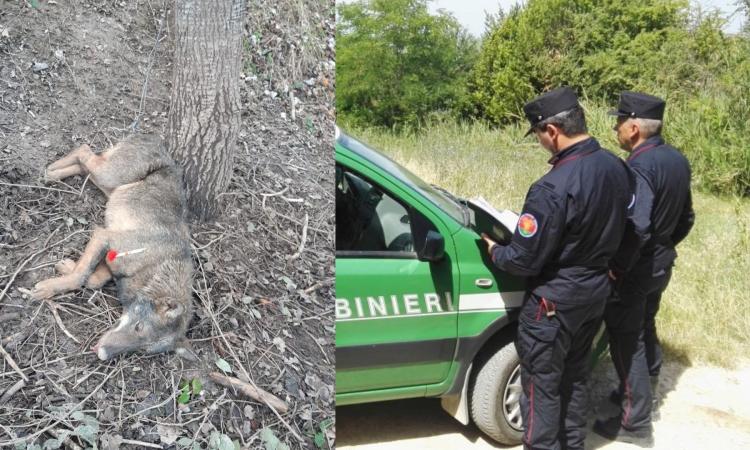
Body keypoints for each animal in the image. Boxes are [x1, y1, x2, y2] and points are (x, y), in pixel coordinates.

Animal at [29, 135, 195, 360]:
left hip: (109, 186)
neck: (155, 268)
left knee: (84, 165)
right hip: (107, 175)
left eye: (141, 349)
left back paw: (53, 174)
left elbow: (92, 280)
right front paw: (50, 287)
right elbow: (80, 276)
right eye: (138, 327)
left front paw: (67, 266)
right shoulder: (104, 236)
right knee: (84, 150)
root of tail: (154, 141)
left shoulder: (109, 257)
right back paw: (52, 170)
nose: (102, 354)